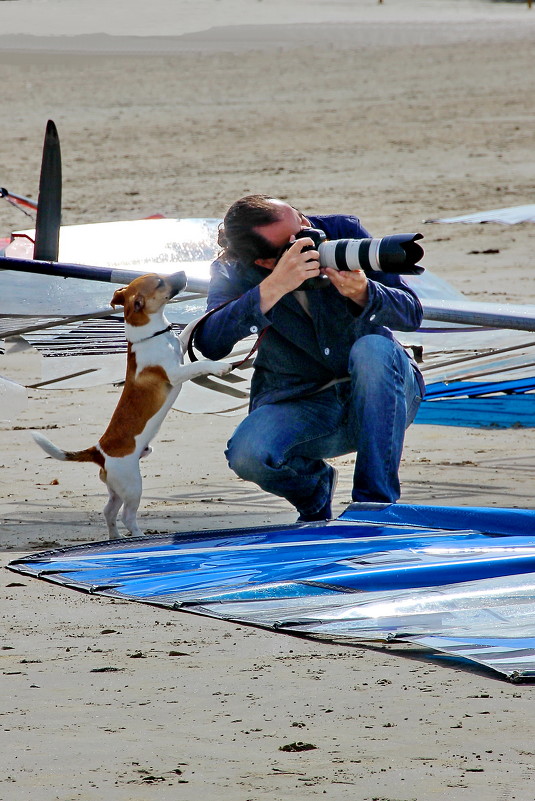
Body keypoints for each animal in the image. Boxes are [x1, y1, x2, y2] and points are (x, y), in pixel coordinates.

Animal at [32, 272, 233, 540]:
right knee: (127, 516)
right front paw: (219, 367)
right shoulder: (176, 373)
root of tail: (99, 452)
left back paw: (115, 539)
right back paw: (139, 536)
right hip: (133, 485)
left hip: (117, 489)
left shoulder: (179, 345)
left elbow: (190, 328)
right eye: (160, 282)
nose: (183, 274)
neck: (152, 335)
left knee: (109, 511)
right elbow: (199, 365)